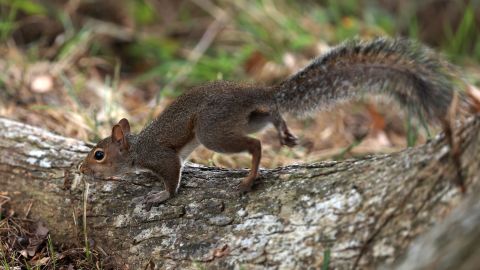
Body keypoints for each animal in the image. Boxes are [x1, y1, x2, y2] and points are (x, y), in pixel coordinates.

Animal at [79, 37, 458, 210]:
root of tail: (256, 91)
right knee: (270, 115)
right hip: (247, 118)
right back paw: (281, 128)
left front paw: (160, 196)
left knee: (255, 145)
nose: (81, 171)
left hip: (211, 129)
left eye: (99, 154)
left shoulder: (162, 157)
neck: (136, 149)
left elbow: (172, 178)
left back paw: (249, 179)